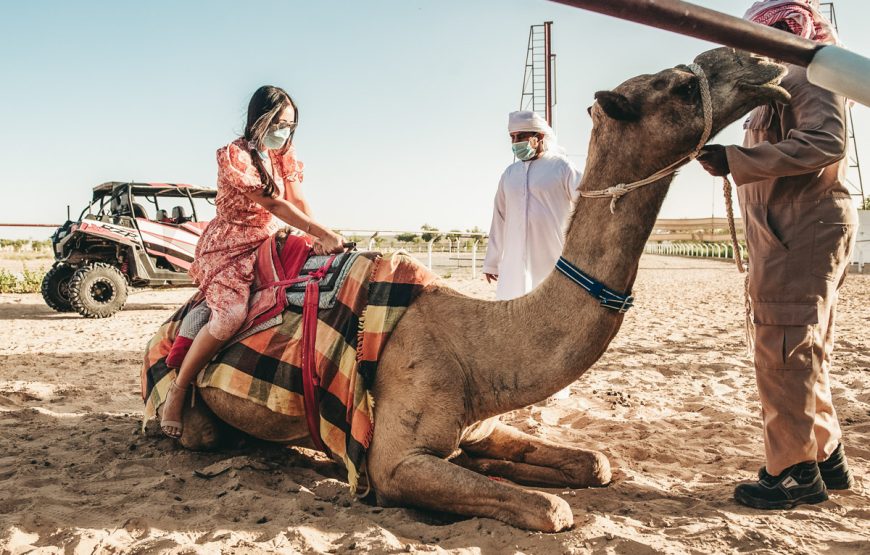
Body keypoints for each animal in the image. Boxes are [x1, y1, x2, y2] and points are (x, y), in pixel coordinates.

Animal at [171, 47, 788, 532]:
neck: (476, 349)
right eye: (681, 85)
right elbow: (552, 510)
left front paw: (503, 465)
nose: (763, 62)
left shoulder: (482, 421)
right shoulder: (395, 463)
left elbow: (596, 463)